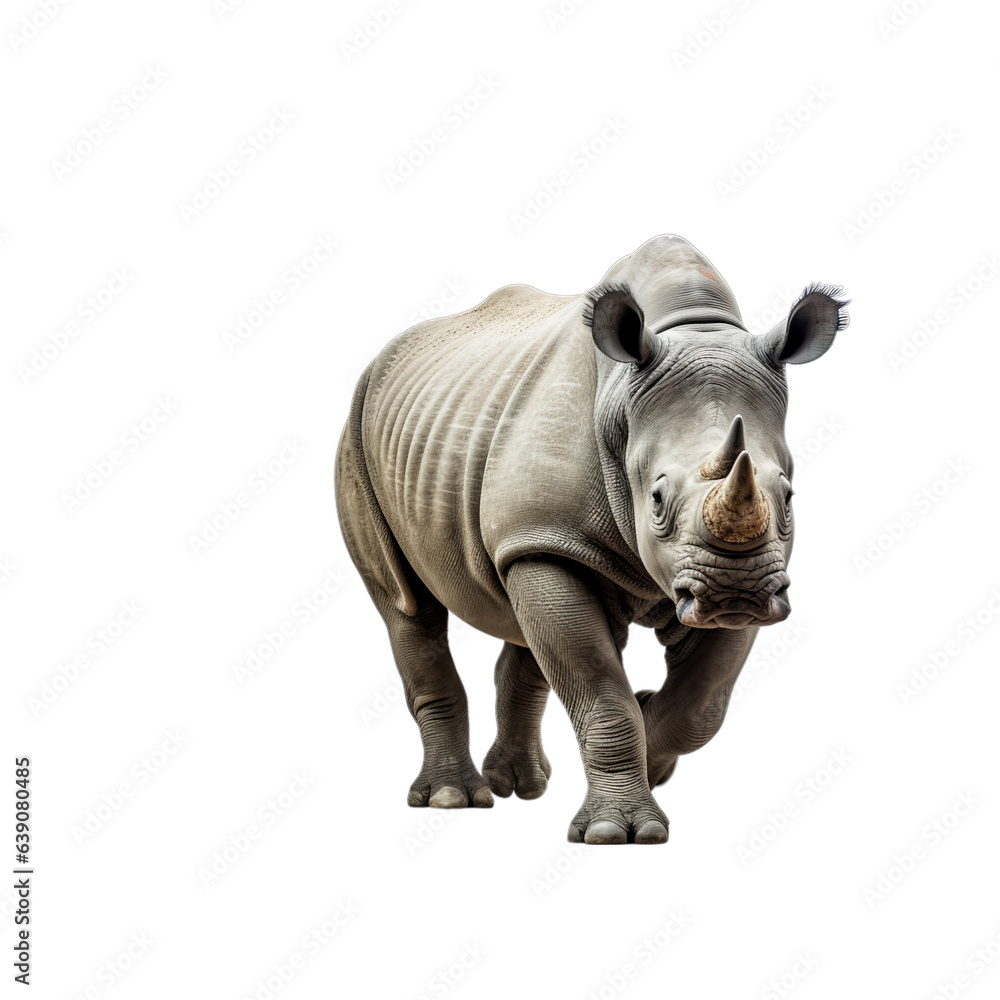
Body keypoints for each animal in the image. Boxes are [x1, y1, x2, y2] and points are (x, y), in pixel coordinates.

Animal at [335, 234, 848, 844]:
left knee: (517, 609)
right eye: (656, 499)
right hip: (358, 436)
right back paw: (452, 799)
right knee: (407, 606)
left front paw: (653, 750)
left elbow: (702, 703)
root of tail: (382, 358)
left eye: (788, 497)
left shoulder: (756, 572)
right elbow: (601, 690)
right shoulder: (549, 537)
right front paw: (619, 830)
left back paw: (521, 786)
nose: (734, 591)